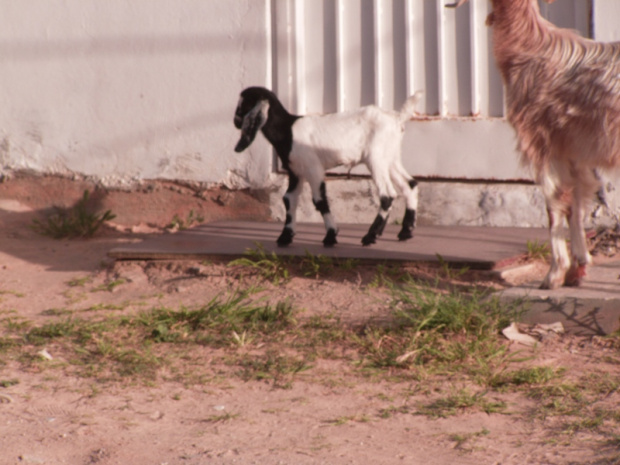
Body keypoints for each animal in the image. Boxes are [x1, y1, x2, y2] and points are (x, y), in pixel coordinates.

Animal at [234, 86, 422, 246]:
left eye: (244, 104)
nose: (235, 121)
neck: (287, 129)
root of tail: (397, 118)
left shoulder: (313, 168)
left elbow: (319, 200)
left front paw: (331, 235)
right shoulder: (296, 171)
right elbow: (289, 198)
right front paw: (285, 236)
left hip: (376, 158)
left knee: (387, 194)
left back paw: (370, 236)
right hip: (390, 157)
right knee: (410, 184)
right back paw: (405, 231)